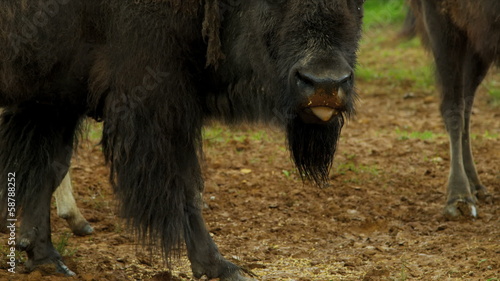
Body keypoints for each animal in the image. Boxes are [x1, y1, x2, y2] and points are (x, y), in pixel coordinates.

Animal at [0, 1, 364, 278]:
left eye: (356, 1)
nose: (325, 84)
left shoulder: (55, 98)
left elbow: (47, 168)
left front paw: (43, 256)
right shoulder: (157, 106)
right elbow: (185, 187)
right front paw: (221, 267)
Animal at [404, 0, 498, 218]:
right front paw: (459, 199)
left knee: (466, 104)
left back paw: (476, 187)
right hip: (448, 29)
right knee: (454, 106)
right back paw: (461, 197)